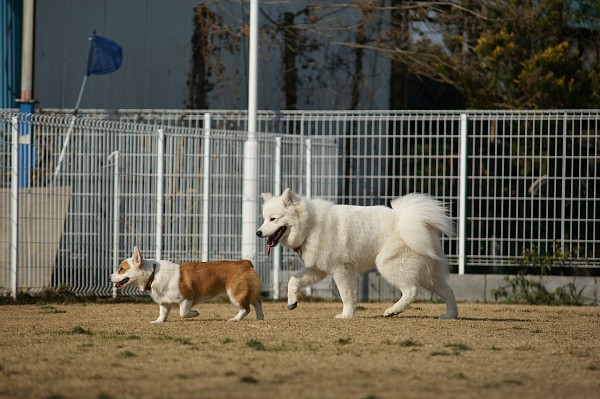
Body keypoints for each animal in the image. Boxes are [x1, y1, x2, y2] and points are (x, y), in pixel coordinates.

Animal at [110, 248, 264, 324]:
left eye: (121, 269)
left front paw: (194, 313)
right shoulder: (164, 303)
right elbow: (162, 313)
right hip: (248, 292)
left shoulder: (186, 299)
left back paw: (235, 319)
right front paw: (158, 321)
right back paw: (259, 318)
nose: (109, 276)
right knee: (257, 302)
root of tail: (245, 262)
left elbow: (182, 313)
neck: (153, 275)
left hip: (235, 294)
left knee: (246, 308)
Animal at [255, 189, 458, 320]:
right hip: (429, 275)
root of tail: (409, 219)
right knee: (448, 291)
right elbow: (293, 280)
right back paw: (450, 315)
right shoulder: (317, 270)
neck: (310, 225)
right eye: (264, 219)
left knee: (411, 290)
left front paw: (346, 315)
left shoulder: (341, 270)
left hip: (389, 265)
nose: (258, 233)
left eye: (273, 219)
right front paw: (292, 302)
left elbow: (346, 295)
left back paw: (393, 311)